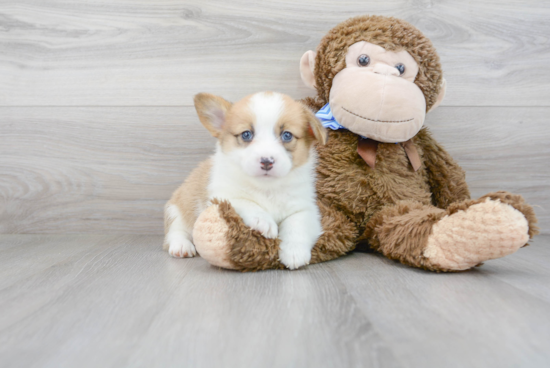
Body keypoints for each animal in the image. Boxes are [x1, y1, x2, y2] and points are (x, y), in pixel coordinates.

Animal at [164, 91, 328, 270]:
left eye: (287, 135)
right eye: (246, 134)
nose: (266, 161)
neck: (267, 187)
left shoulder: (305, 209)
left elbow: (297, 225)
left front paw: (294, 252)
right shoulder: (223, 196)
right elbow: (248, 203)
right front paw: (263, 221)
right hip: (178, 208)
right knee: (175, 231)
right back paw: (181, 246)